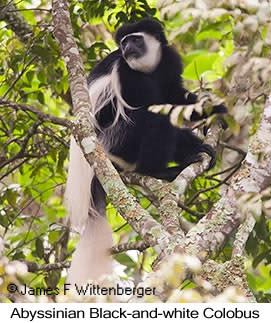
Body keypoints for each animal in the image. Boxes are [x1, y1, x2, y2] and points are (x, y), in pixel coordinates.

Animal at [66, 19, 227, 284]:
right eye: (124, 42)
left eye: (136, 39)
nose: (127, 47)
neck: (149, 68)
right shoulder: (128, 74)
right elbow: (156, 106)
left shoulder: (169, 62)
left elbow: (174, 96)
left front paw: (212, 111)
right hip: (117, 142)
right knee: (150, 118)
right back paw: (160, 171)